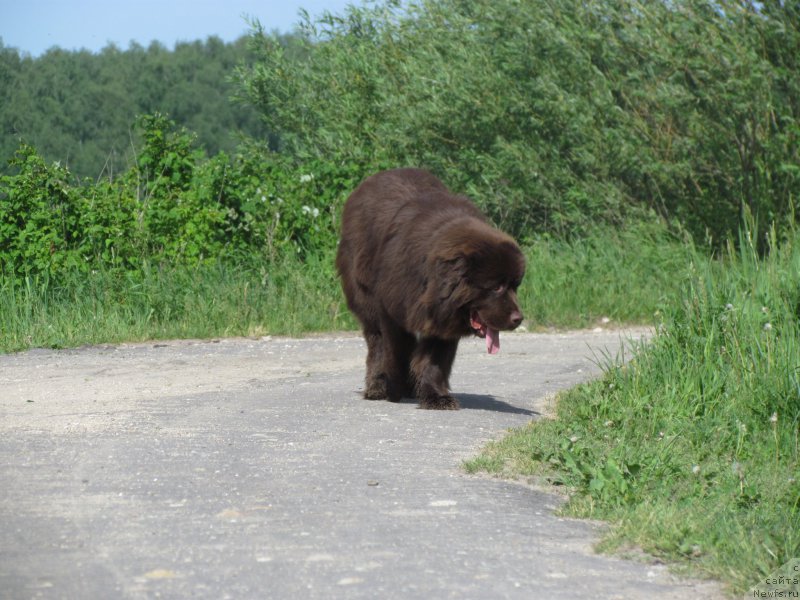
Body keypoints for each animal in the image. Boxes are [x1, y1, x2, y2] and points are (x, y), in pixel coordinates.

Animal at [336, 170, 524, 412]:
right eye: (497, 287)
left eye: (515, 285)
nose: (518, 318)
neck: (432, 283)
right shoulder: (393, 308)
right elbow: (395, 350)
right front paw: (394, 390)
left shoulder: (442, 320)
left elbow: (435, 361)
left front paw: (436, 397)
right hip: (364, 293)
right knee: (376, 341)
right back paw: (378, 387)